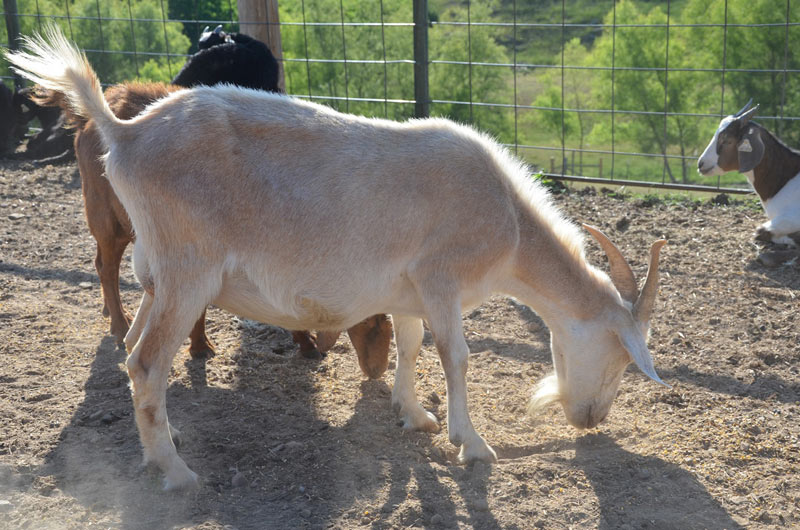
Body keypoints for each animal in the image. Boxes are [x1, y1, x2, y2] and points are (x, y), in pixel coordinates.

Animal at [5, 27, 667, 490]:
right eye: (620, 356)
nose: (590, 420)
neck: (507, 218)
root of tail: (123, 132)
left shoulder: (409, 289)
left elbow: (411, 343)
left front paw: (414, 416)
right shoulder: (441, 277)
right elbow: (456, 355)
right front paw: (473, 444)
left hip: (158, 274)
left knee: (130, 348)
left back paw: (161, 444)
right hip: (187, 269)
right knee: (144, 362)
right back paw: (176, 473)